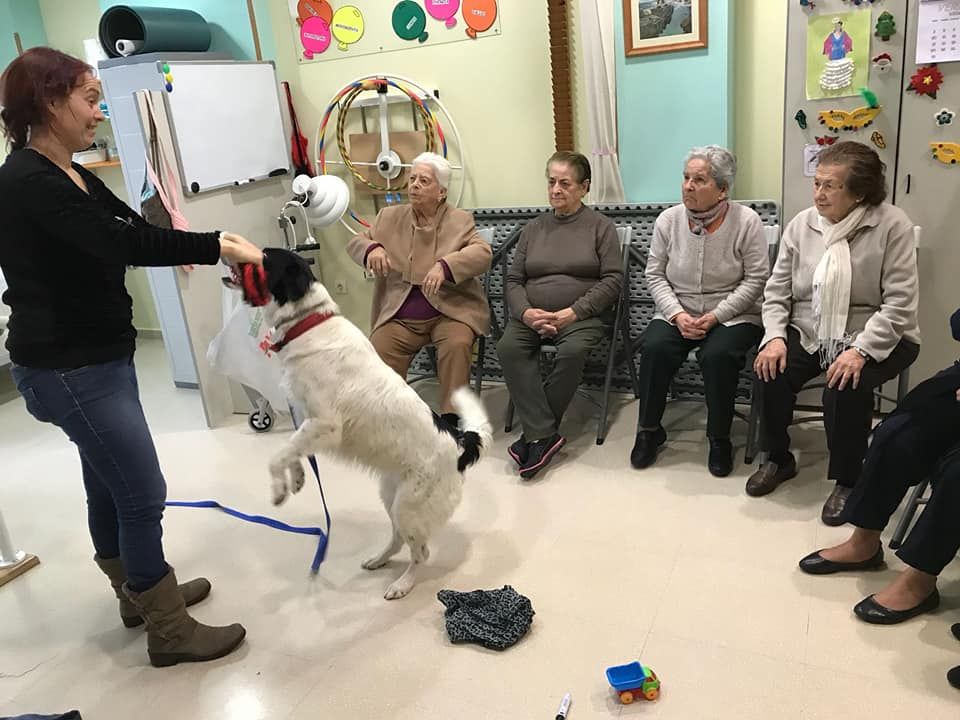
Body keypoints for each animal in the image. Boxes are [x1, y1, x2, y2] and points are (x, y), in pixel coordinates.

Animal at [228, 250, 492, 600]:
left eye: (263, 259)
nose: (227, 249)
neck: (309, 323)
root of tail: (461, 441)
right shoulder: (307, 421)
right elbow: (293, 450)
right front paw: (296, 479)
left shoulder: (325, 424)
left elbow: (277, 457)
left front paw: (279, 489)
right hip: (391, 496)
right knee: (398, 539)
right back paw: (379, 559)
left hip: (409, 506)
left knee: (420, 553)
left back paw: (402, 584)